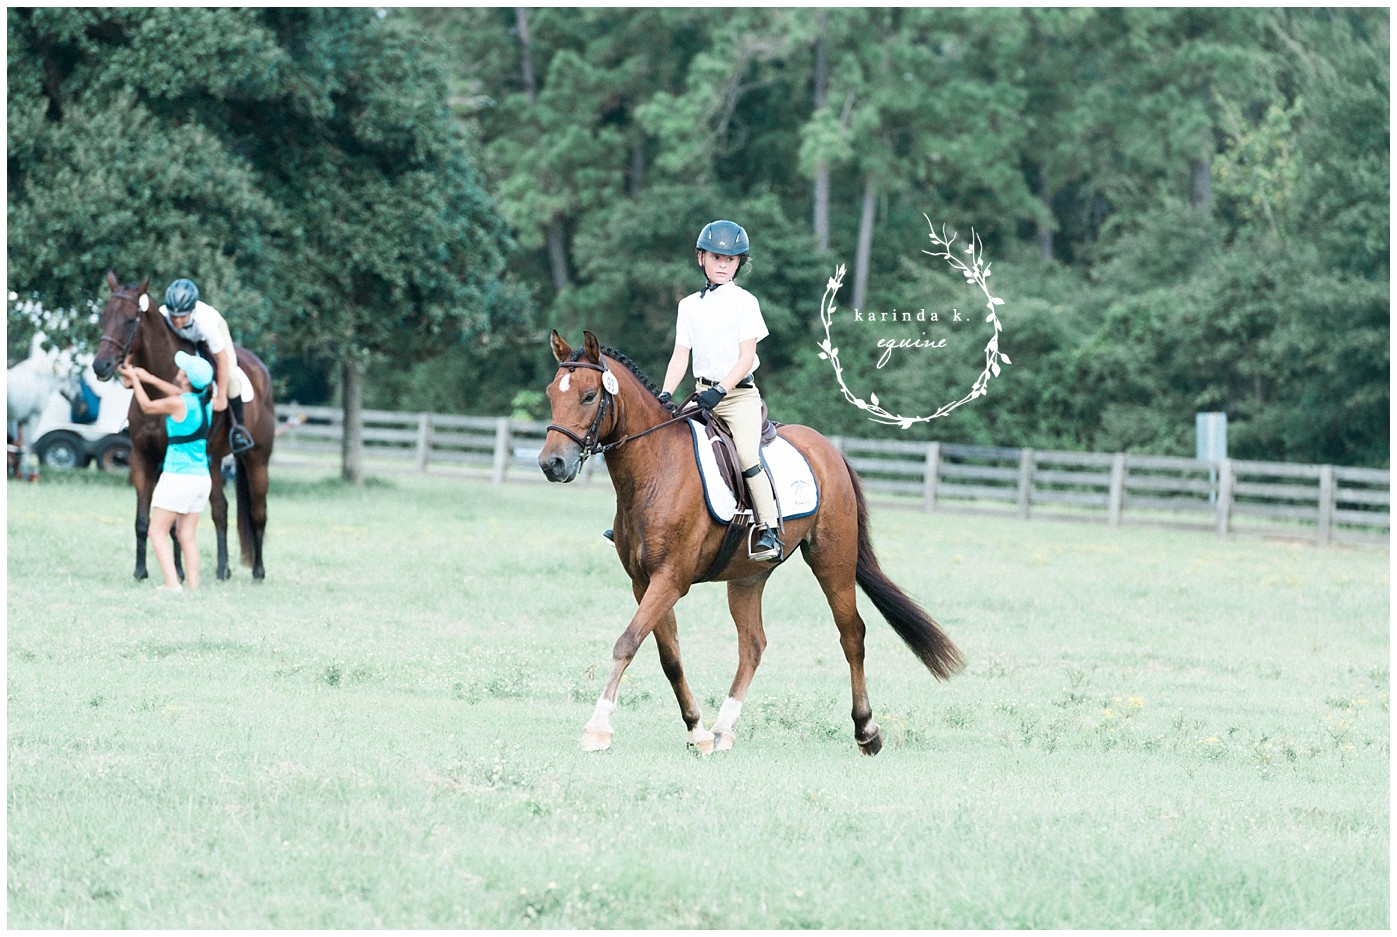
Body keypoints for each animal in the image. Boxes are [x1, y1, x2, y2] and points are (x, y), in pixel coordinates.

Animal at [91, 271, 276, 582]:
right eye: (104, 316)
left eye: (130, 319)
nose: (100, 366)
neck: (160, 390)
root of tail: (260, 370)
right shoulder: (143, 458)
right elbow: (145, 520)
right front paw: (143, 571)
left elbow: (176, 523)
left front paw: (176, 572)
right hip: (213, 462)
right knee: (221, 511)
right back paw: (224, 569)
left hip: (256, 459)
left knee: (257, 513)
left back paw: (258, 571)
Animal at [538, 331, 964, 755]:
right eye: (551, 394)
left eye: (589, 396)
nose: (551, 464)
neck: (656, 470)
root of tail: (828, 450)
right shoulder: (644, 582)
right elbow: (669, 656)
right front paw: (697, 731)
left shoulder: (670, 579)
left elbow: (627, 642)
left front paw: (598, 728)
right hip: (747, 576)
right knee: (753, 644)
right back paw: (723, 728)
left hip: (833, 559)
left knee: (852, 635)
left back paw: (866, 731)